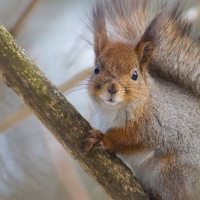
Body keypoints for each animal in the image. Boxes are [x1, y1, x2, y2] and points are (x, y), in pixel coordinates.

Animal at [83, 0, 200, 199]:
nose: (112, 88)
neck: (112, 110)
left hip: (173, 170)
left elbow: (130, 140)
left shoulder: (155, 126)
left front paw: (104, 139)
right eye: (96, 69)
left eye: (135, 74)